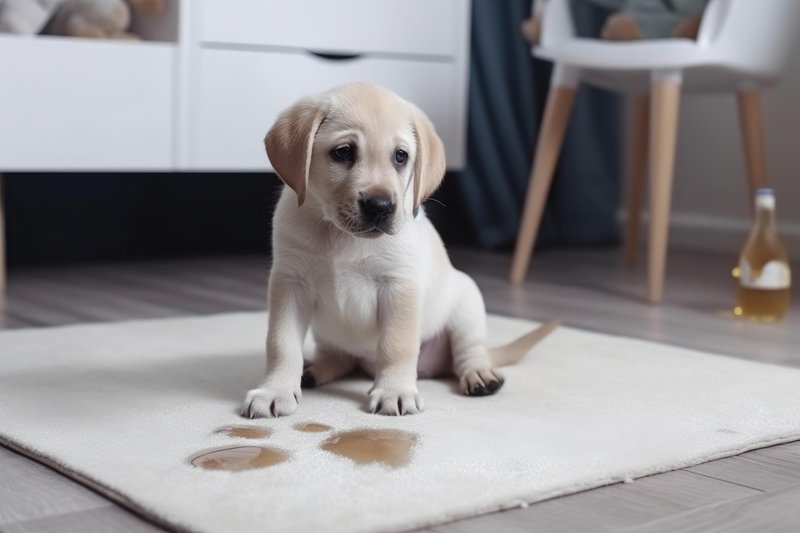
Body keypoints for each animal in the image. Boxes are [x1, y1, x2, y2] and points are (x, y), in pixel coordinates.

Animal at [244, 83, 556, 416]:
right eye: (343, 152)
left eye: (401, 157)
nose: (380, 206)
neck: (341, 237)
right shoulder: (290, 283)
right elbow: (282, 343)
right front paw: (274, 391)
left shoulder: (398, 285)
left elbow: (396, 345)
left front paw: (395, 392)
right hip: (329, 334)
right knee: (341, 359)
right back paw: (314, 370)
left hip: (467, 304)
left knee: (469, 352)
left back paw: (480, 375)